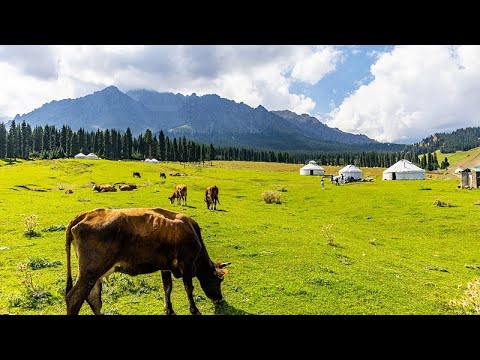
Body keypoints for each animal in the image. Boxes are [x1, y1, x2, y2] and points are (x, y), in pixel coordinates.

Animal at [65, 208, 231, 316]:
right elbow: (189, 288)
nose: (219, 300)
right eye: (218, 280)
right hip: (90, 271)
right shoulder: (187, 264)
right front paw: (194, 309)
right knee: (74, 299)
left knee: (94, 299)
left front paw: (169, 309)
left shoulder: (166, 267)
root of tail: (85, 214)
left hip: (94, 274)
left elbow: (167, 288)